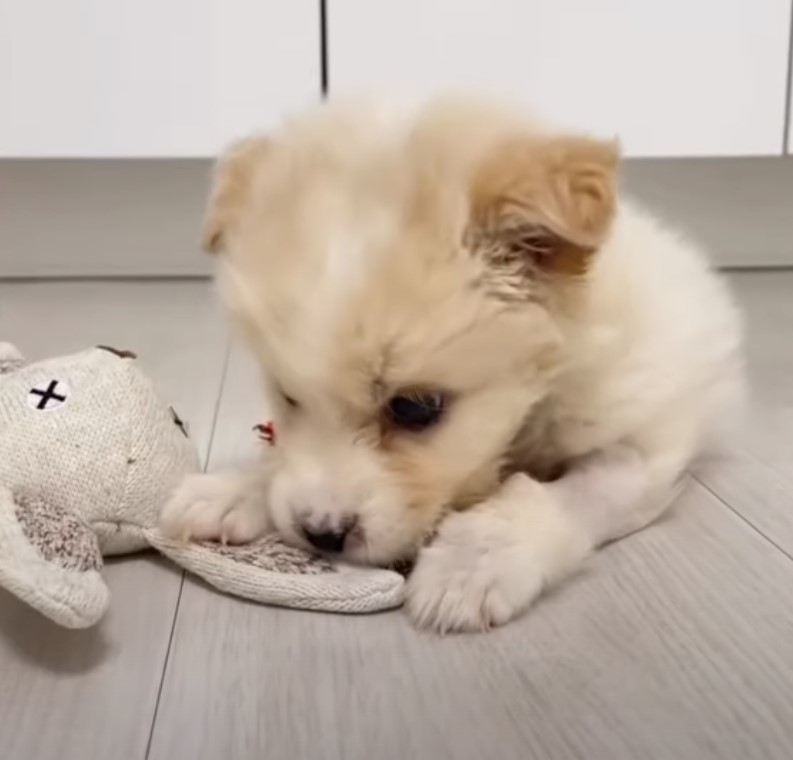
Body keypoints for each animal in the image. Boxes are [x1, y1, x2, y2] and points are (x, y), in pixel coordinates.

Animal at [161, 93, 744, 628]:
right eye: (288, 396)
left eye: (416, 408)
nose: (321, 535)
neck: (535, 408)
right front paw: (236, 488)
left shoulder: (640, 448)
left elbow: (561, 495)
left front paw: (474, 562)